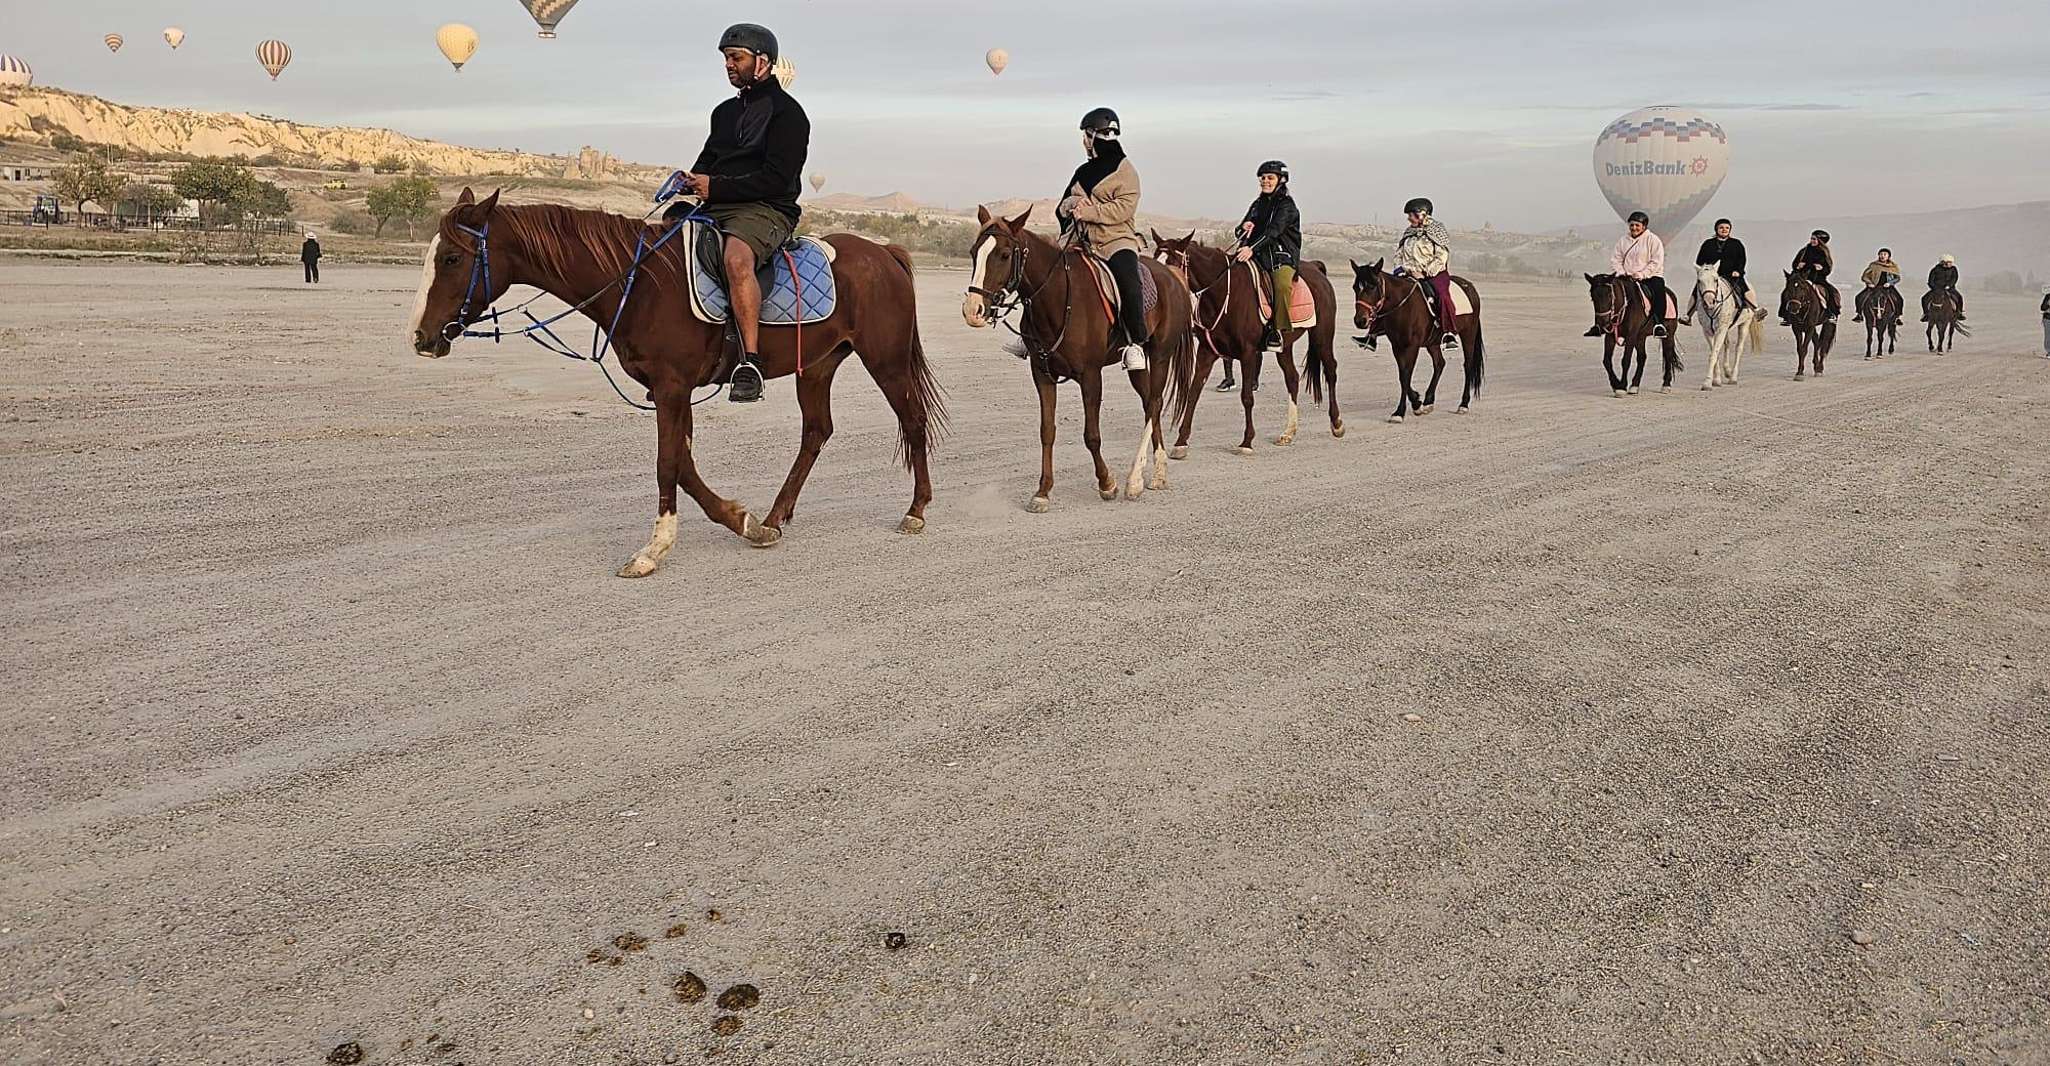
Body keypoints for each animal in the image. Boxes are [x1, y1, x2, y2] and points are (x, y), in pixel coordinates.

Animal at [410, 187, 951, 578]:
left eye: (453, 258)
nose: (422, 337)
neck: (640, 283)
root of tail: (885, 255)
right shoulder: (669, 391)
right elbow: (684, 464)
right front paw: (743, 522)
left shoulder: (672, 388)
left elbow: (667, 464)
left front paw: (654, 549)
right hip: (816, 366)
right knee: (816, 432)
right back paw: (776, 517)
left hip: (886, 361)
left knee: (912, 418)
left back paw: (917, 509)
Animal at [963, 207, 1197, 512]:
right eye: (973, 252)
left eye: (1003, 254)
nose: (973, 310)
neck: (1058, 297)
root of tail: (1173, 277)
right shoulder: (1042, 374)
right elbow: (1047, 432)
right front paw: (1043, 491)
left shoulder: (1090, 376)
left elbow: (1092, 435)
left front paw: (1107, 483)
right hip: (1137, 365)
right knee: (1149, 404)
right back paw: (1158, 471)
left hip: (1160, 356)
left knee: (1155, 403)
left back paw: (1137, 479)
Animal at [1148, 230, 1336, 455]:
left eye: (1172, 263)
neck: (1222, 292)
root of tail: (1316, 269)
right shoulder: (1206, 352)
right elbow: (1193, 394)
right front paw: (1181, 442)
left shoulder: (1248, 353)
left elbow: (1247, 397)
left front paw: (1247, 441)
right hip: (1285, 347)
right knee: (1292, 378)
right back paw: (1288, 432)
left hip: (1322, 336)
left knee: (1331, 370)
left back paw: (1336, 423)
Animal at [1344, 258, 1492, 420]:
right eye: (1355, 288)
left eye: (1372, 286)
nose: (1360, 321)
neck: (1403, 306)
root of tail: (1470, 286)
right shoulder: (1397, 346)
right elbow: (1402, 375)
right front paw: (1416, 402)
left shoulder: (1412, 346)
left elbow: (1406, 375)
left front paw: (1400, 412)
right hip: (1432, 342)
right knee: (1439, 363)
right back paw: (1428, 401)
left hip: (1468, 334)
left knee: (1467, 365)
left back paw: (1463, 404)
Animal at [1689, 262, 1771, 391]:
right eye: (1699, 280)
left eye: (1715, 279)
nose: (1709, 302)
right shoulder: (1708, 331)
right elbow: (1715, 353)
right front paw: (1716, 380)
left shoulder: (1721, 329)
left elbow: (1714, 354)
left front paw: (1707, 383)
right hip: (1725, 329)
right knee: (1727, 344)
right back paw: (1727, 371)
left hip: (1744, 324)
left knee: (1738, 348)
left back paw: (1733, 377)